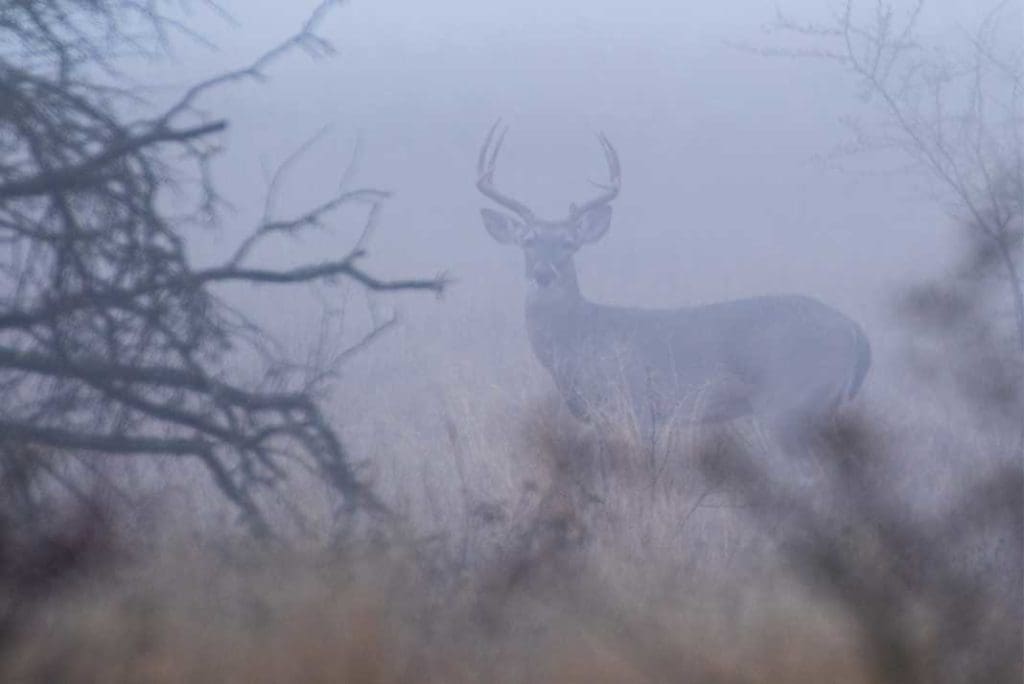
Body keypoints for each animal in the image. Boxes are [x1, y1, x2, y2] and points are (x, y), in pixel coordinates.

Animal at [476, 123, 871, 446]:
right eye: (528, 241)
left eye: (569, 244)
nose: (544, 274)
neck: (579, 340)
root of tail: (854, 329)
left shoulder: (635, 405)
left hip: (789, 404)